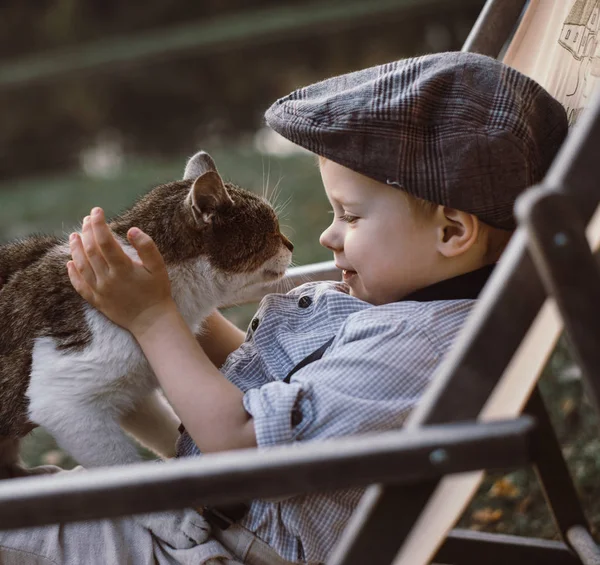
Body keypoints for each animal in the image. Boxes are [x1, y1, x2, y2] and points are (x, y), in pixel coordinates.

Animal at [0, 150, 292, 540]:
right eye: (272, 230)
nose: (290, 244)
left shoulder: (134, 387)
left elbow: (165, 428)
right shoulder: (66, 401)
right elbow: (121, 471)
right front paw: (176, 520)